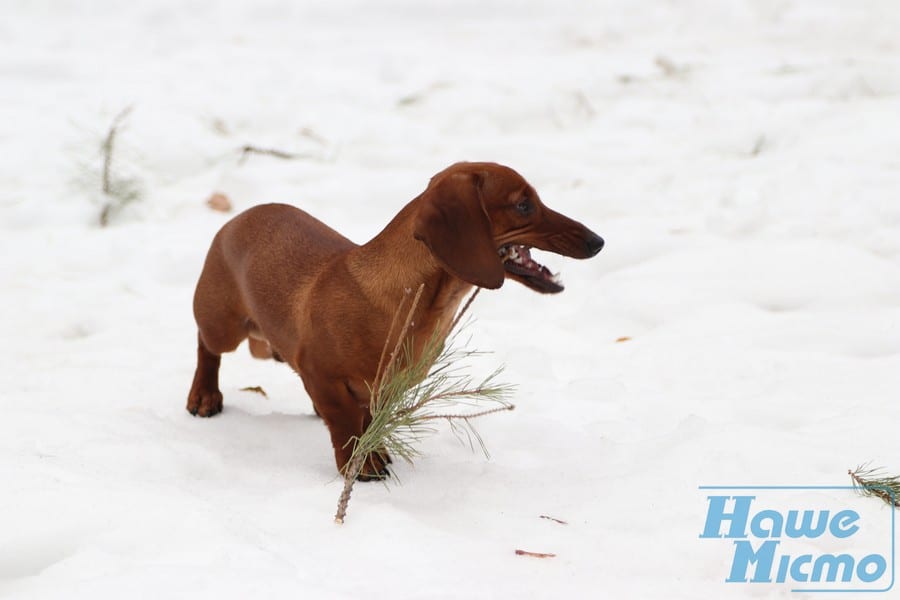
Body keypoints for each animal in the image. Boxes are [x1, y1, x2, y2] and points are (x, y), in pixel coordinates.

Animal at [186, 163, 600, 478]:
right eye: (524, 205)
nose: (598, 241)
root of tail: (237, 218)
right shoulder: (321, 373)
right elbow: (346, 424)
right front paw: (361, 466)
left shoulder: (382, 387)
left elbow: (367, 420)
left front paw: (375, 451)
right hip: (223, 326)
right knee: (207, 347)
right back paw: (204, 395)